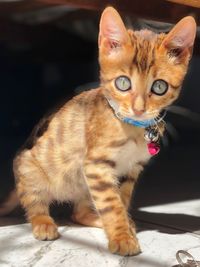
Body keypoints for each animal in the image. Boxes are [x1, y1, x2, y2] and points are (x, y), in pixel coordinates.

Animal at [0, 7, 196, 256]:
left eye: (159, 86)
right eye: (123, 83)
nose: (139, 109)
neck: (131, 128)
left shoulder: (130, 170)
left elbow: (121, 200)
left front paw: (124, 227)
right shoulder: (97, 166)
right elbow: (112, 205)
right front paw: (122, 237)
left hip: (83, 186)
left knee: (79, 213)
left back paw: (100, 220)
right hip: (31, 170)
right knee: (34, 203)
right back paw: (43, 223)